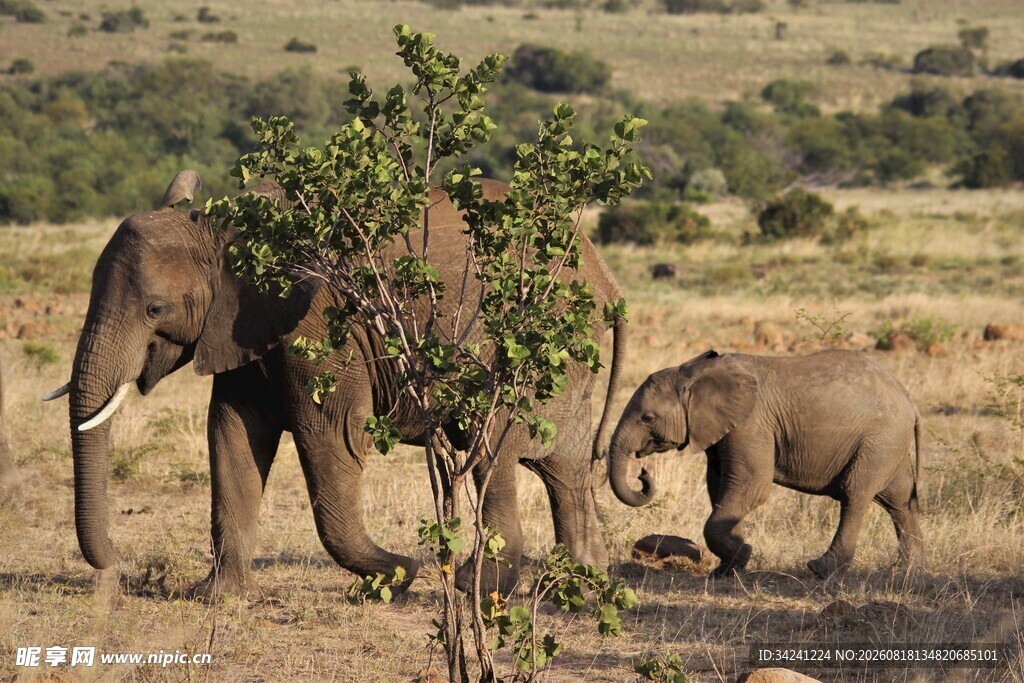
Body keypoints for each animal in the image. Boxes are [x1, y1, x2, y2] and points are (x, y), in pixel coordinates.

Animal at [44, 171, 627, 598]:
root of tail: (608, 281)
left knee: (492, 447)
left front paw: (399, 574)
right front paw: (217, 597)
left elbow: (330, 436)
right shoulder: (241, 327)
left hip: (528, 343)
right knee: (563, 468)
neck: (231, 228)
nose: (118, 566)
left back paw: (476, 587)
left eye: (154, 309)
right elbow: (233, 437)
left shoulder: (323, 324)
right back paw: (581, 585)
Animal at [608, 349, 923, 579]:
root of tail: (909, 400)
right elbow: (719, 488)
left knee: (854, 494)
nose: (643, 474)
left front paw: (742, 555)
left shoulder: (751, 424)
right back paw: (905, 569)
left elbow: (751, 487)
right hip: (887, 443)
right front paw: (728, 567)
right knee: (899, 500)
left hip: (879, 439)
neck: (693, 372)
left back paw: (821, 570)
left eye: (647, 418)